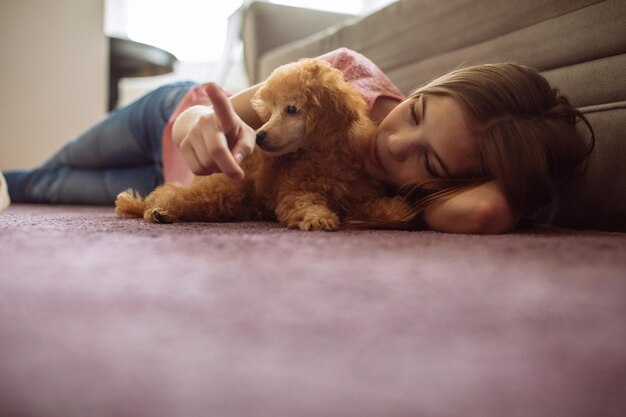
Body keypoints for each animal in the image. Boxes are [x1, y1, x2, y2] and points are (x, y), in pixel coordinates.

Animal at [115, 57, 412, 231]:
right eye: (268, 113)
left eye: (291, 109)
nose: (258, 136)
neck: (324, 155)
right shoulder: (294, 192)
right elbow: (302, 203)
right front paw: (317, 217)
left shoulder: (358, 195)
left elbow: (386, 208)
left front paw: (395, 210)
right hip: (225, 189)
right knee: (174, 193)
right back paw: (159, 210)